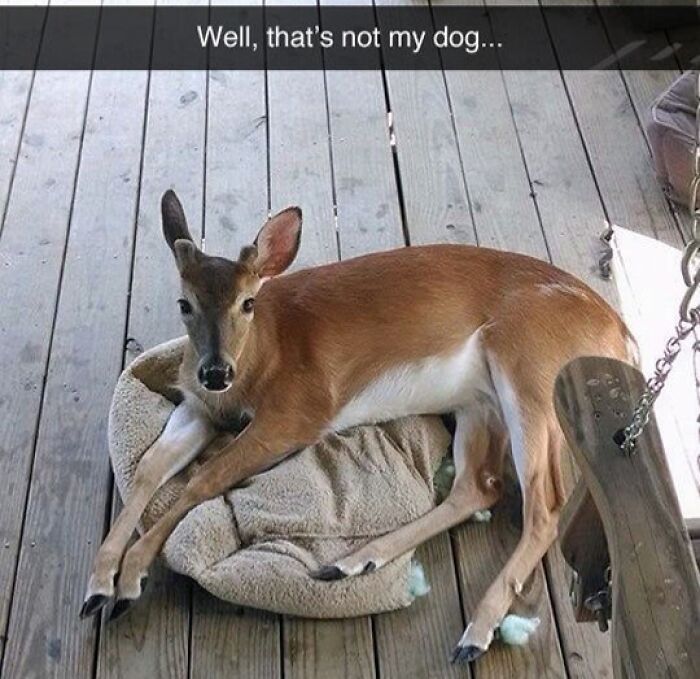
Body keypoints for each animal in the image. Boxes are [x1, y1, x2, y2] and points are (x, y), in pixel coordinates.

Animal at [80, 189, 636, 663]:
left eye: (247, 302)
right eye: (185, 304)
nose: (215, 371)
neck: (264, 356)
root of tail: (621, 335)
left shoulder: (300, 411)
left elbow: (202, 479)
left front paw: (130, 579)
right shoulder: (200, 407)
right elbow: (150, 467)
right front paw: (99, 583)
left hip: (531, 369)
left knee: (545, 504)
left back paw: (474, 634)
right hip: (479, 399)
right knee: (480, 486)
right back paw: (355, 560)